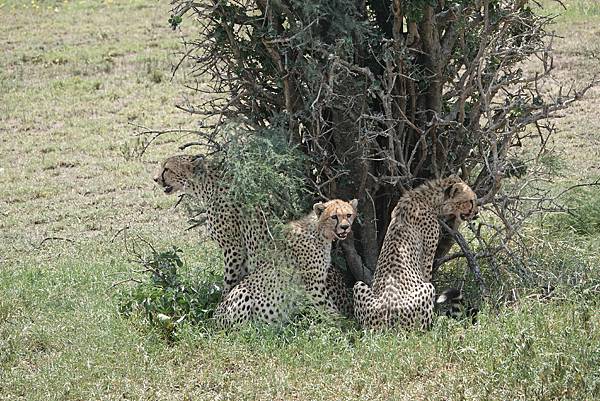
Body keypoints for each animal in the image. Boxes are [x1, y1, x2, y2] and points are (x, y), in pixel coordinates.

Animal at [352, 175, 478, 328]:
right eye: (470, 201)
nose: (476, 212)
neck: (427, 199)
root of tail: (385, 322)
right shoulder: (427, 257)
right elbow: (427, 275)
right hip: (427, 291)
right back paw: (436, 323)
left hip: (358, 286)